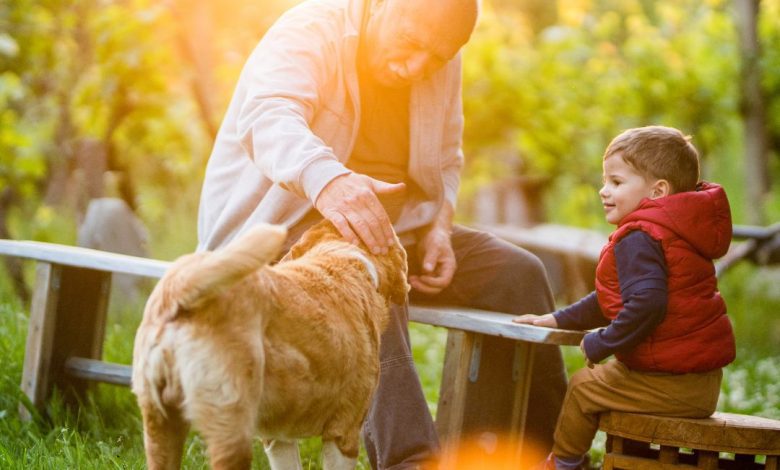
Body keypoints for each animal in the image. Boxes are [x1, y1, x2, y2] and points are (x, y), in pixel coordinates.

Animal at [131, 221, 408, 470]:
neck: (340, 256)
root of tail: (177, 289)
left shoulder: (277, 439)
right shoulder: (344, 432)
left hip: (159, 426)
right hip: (231, 430)